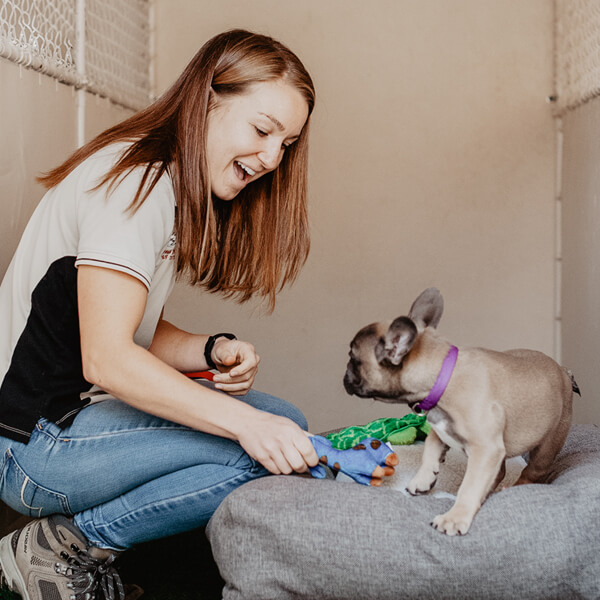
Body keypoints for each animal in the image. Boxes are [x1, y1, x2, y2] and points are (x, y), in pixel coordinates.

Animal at [344, 288, 580, 536]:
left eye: (353, 358)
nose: (345, 372)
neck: (441, 375)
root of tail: (564, 371)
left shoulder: (485, 447)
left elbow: (470, 485)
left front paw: (455, 517)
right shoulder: (442, 429)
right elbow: (430, 446)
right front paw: (424, 478)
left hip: (548, 445)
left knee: (531, 473)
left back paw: (510, 489)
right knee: (499, 472)